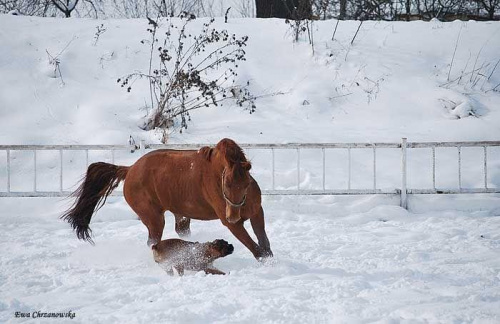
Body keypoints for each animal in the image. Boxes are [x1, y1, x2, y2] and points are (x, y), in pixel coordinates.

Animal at [63, 138, 274, 260]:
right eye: (226, 184)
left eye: (246, 183)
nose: (233, 216)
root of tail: (129, 170)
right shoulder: (231, 225)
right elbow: (255, 247)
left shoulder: (256, 212)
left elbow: (263, 242)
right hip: (154, 218)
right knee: (153, 241)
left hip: (180, 214)